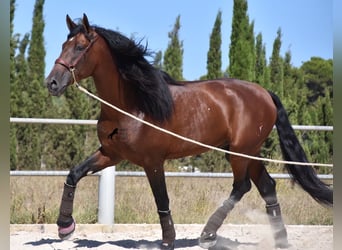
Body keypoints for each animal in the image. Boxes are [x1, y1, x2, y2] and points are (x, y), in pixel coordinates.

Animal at [44, 14, 332, 249]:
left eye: (80, 47)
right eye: (63, 46)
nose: (52, 83)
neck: (132, 104)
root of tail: (265, 93)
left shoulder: (152, 161)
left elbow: (162, 200)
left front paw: (168, 241)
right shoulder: (110, 154)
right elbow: (74, 174)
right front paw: (65, 227)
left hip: (240, 153)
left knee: (242, 186)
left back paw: (208, 234)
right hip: (249, 153)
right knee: (267, 187)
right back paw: (280, 240)